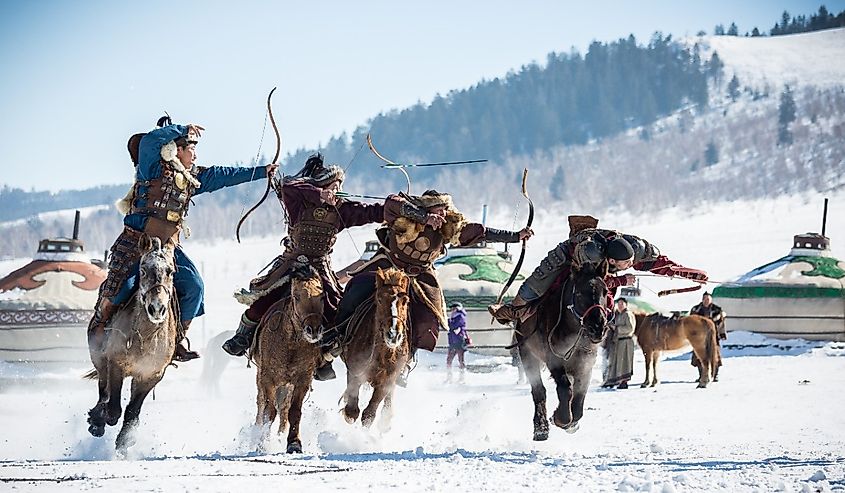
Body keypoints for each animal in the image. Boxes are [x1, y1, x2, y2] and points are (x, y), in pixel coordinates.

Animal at [85, 235, 177, 454]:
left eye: (170, 271)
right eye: (142, 270)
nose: (157, 308)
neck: (145, 338)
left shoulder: (151, 375)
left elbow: (132, 411)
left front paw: (125, 441)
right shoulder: (116, 364)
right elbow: (114, 407)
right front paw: (101, 420)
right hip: (100, 360)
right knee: (103, 390)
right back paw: (97, 421)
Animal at [251, 268, 324, 452]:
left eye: (321, 297)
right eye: (296, 296)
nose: (313, 329)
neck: (290, 345)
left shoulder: (302, 380)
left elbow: (294, 411)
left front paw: (294, 443)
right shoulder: (267, 378)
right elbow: (268, 411)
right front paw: (262, 442)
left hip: (286, 385)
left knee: (283, 408)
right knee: (261, 403)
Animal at [342, 268, 410, 428]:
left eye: (405, 301)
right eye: (379, 299)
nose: (393, 334)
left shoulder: (388, 379)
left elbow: (369, 414)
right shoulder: (355, 370)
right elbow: (352, 411)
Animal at [512, 264, 608, 440]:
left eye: (605, 291)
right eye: (579, 292)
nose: (598, 327)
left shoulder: (586, 364)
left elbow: (579, 397)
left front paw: (572, 422)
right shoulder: (554, 360)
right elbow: (565, 389)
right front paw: (560, 418)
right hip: (527, 354)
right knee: (539, 391)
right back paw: (541, 428)